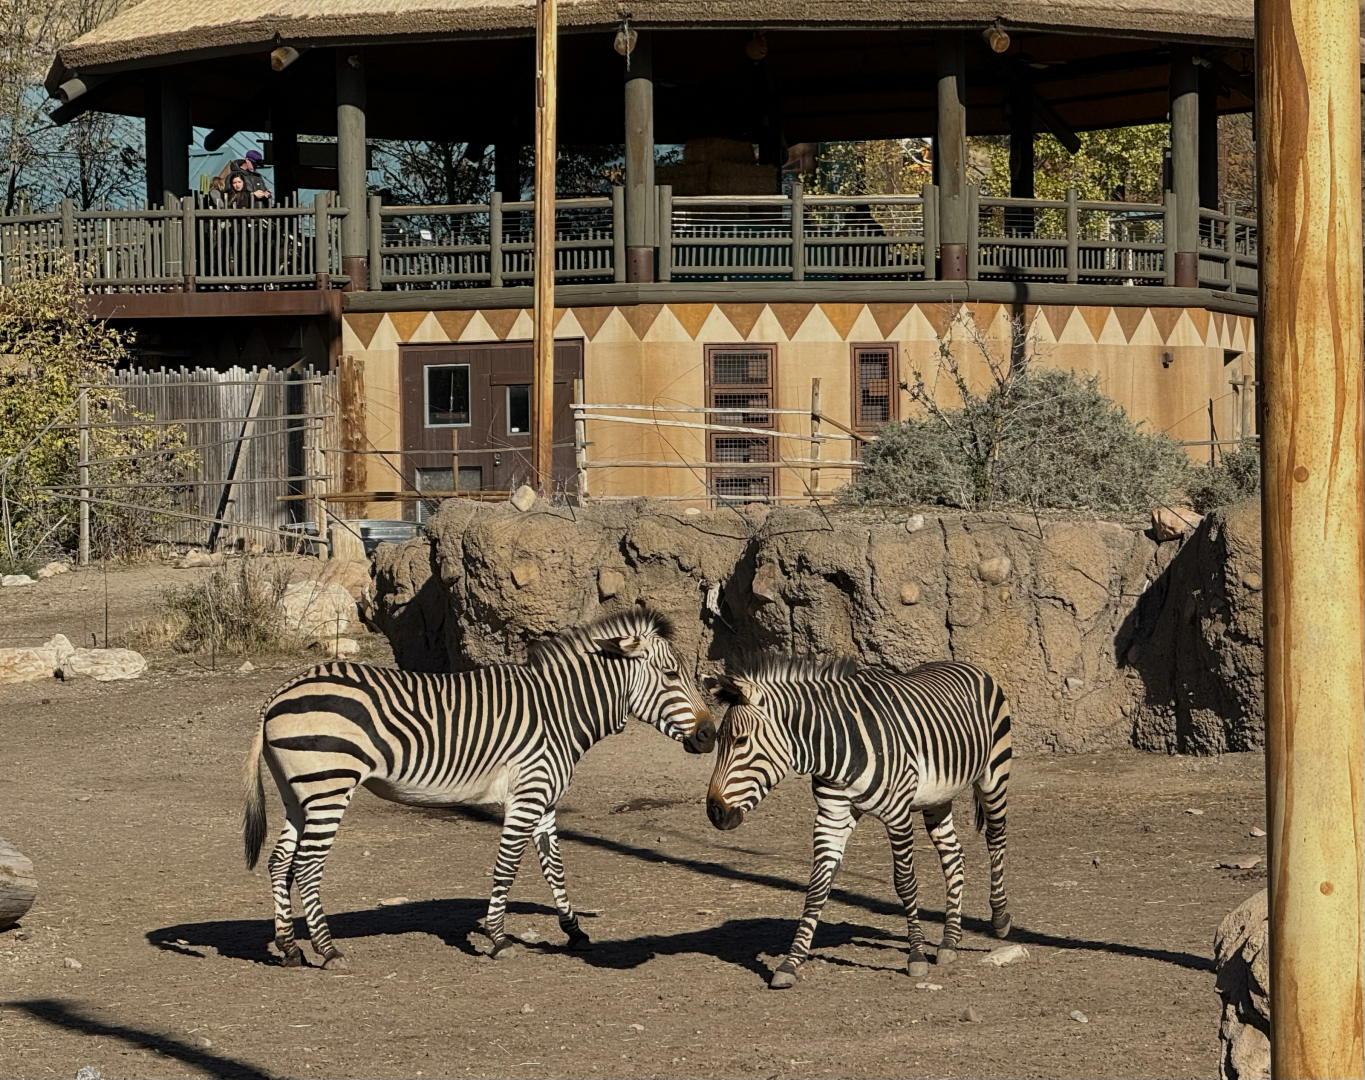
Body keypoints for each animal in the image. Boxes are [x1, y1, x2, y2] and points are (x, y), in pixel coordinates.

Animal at [242, 607, 714, 971]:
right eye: (672, 674)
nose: (710, 736)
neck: (559, 711)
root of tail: (278, 693)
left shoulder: (544, 800)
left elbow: (554, 868)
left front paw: (574, 931)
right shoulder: (527, 797)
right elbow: (507, 867)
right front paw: (498, 939)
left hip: (297, 794)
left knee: (280, 863)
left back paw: (289, 949)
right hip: (327, 789)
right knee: (306, 867)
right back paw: (328, 951)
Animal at [704, 656, 1011, 989]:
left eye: (741, 741)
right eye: (719, 741)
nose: (714, 811)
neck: (835, 748)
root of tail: (963, 664)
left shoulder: (898, 815)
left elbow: (905, 882)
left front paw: (916, 956)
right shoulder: (832, 815)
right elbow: (817, 886)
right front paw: (790, 963)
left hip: (994, 775)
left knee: (996, 839)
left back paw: (999, 919)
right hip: (937, 796)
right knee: (953, 855)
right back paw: (949, 941)